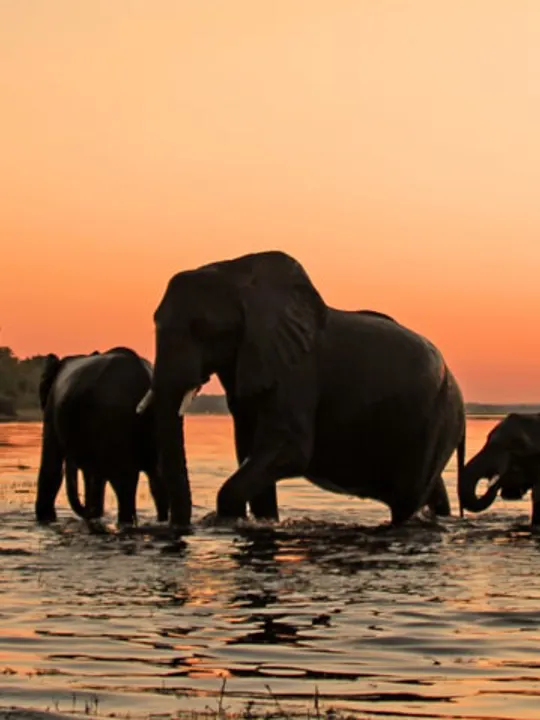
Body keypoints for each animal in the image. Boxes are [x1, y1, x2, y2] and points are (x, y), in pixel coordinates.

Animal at [137, 250, 466, 529]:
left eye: (202, 328)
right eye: (154, 321)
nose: (179, 526)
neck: (235, 273)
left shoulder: (297, 371)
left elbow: (289, 449)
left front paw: (228, 520)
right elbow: (250, 451)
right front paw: (261, 522)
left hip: (438, 419)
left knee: (407, 499)